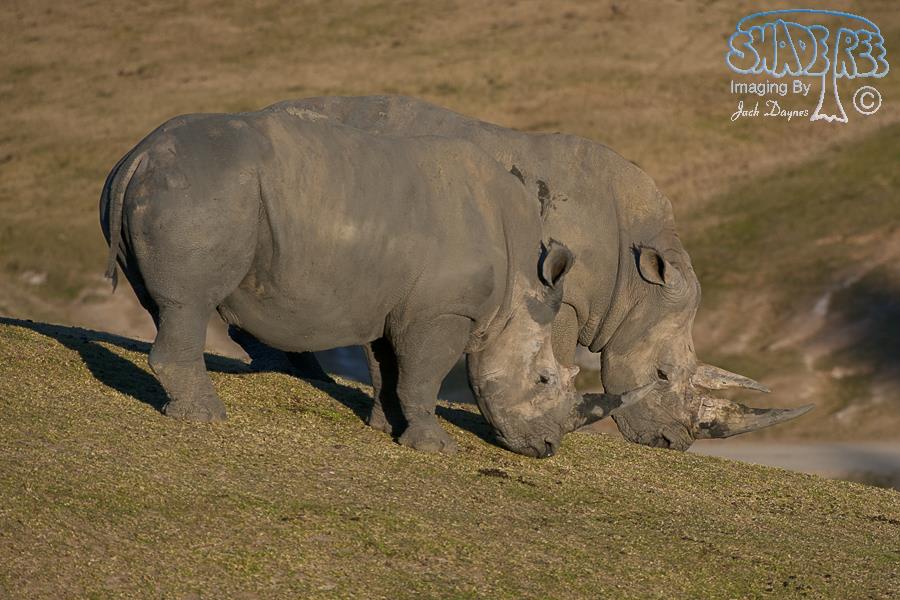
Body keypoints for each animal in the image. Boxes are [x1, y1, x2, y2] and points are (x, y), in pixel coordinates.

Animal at [99, 106, 642, 457]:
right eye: (545, 379)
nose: (547, 448)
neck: (518, 287)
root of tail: (139, 155)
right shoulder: (443, 312)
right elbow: (423, 376)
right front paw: (435, 449)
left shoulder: (396, 304)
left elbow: (389, 371)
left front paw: (386, 429)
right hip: (203, 190)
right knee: (188, 304)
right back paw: (205, 418)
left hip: (174, 187)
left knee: (162, 305)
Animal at [236, 95, 813, 451]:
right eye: (664, 375)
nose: (673, 444)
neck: (634, 281)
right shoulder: (562, 293)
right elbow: (553, 354)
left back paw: (305, 372)